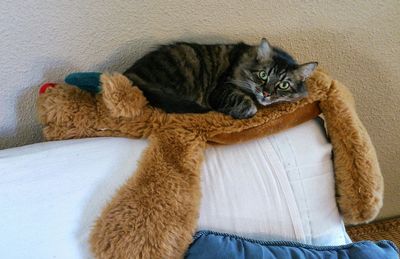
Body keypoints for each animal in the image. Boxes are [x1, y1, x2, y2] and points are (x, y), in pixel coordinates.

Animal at [123, 38, 318, 119]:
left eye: (283, 84)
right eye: (263, 75)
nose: (266, 93)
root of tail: (131, 72)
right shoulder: (221, 90)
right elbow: (248, 105)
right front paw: (246, 110)